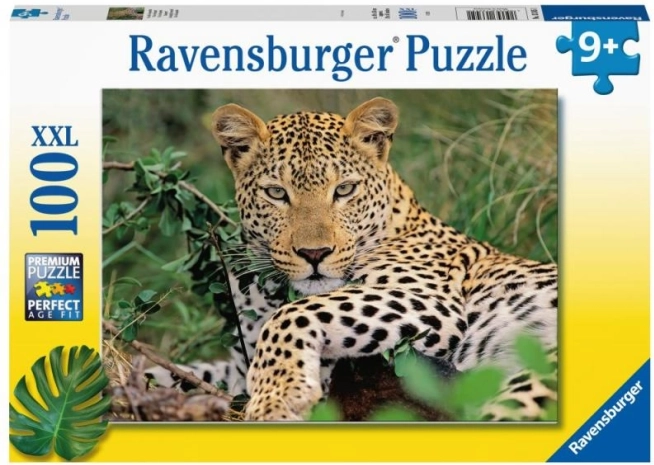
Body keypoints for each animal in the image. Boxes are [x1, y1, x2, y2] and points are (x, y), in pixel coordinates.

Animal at [145, 97, 558, 422]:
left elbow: (293, 314)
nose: (314, 254)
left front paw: (278, 397)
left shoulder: (432, 302)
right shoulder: (237, 363)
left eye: (344, 190)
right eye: (277, 193)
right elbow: (181, 371)